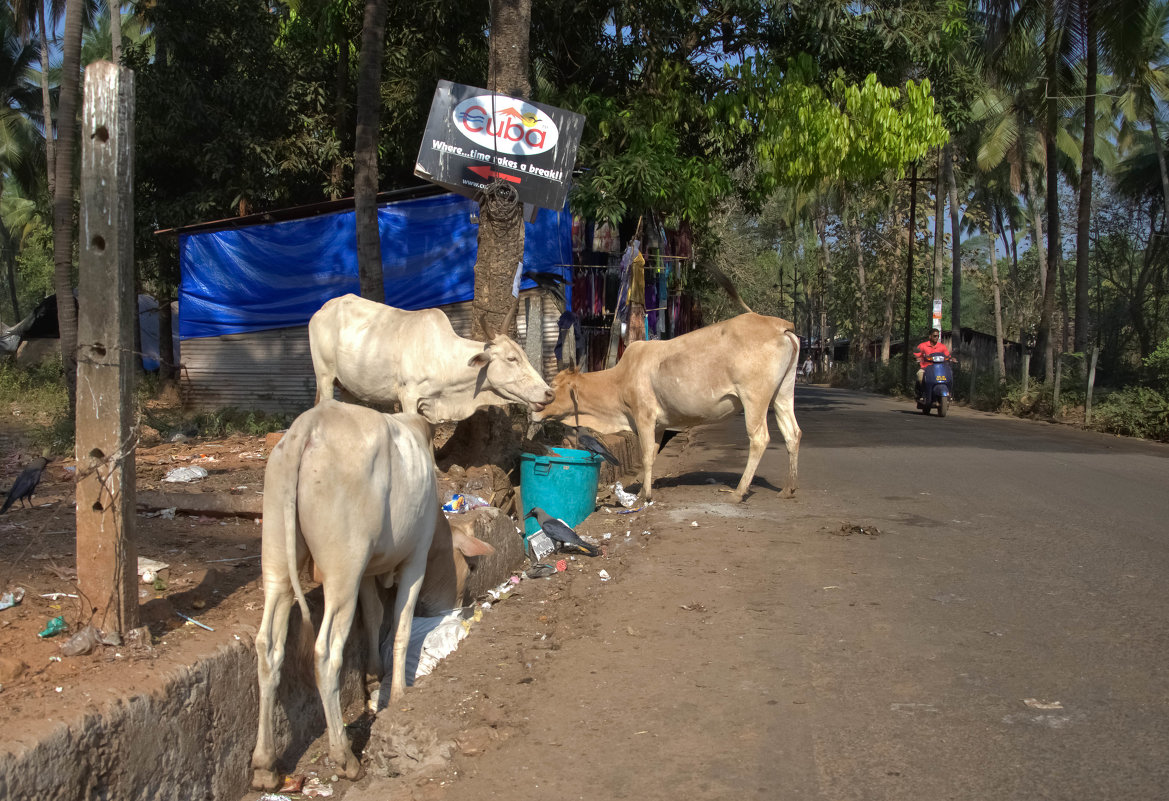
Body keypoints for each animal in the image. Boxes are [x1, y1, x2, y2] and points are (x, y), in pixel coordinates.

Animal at [250, 399, 441, 785]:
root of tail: (307, 428)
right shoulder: (415, 557)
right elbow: (401, 625)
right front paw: (399, 694)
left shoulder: (367, 570)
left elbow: (374, 614)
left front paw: (373, 672)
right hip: (343, 567)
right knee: (326, 653)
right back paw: (344, 756)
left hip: (277, 553)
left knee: (269, 644)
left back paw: (265, 764)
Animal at [306, 289, 551, 420]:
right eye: (512, 358)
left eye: (523, 355)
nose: (549, 393)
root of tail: (322, 309)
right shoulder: (408, 397)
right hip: (325, 377)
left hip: (347, 387)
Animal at [533, 313, 799, 500]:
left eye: (553, 386)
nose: (535, 409)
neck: (620, 378)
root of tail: (779, 324)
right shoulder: (659, 424)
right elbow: (653, 454)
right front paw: (643, 490)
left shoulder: (644, 417)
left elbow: (646, 455)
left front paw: (646, 495)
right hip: (783, 394)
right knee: (792, 434)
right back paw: (788, 488)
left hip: (754, 397)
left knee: (759, 438)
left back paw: (739, 492)